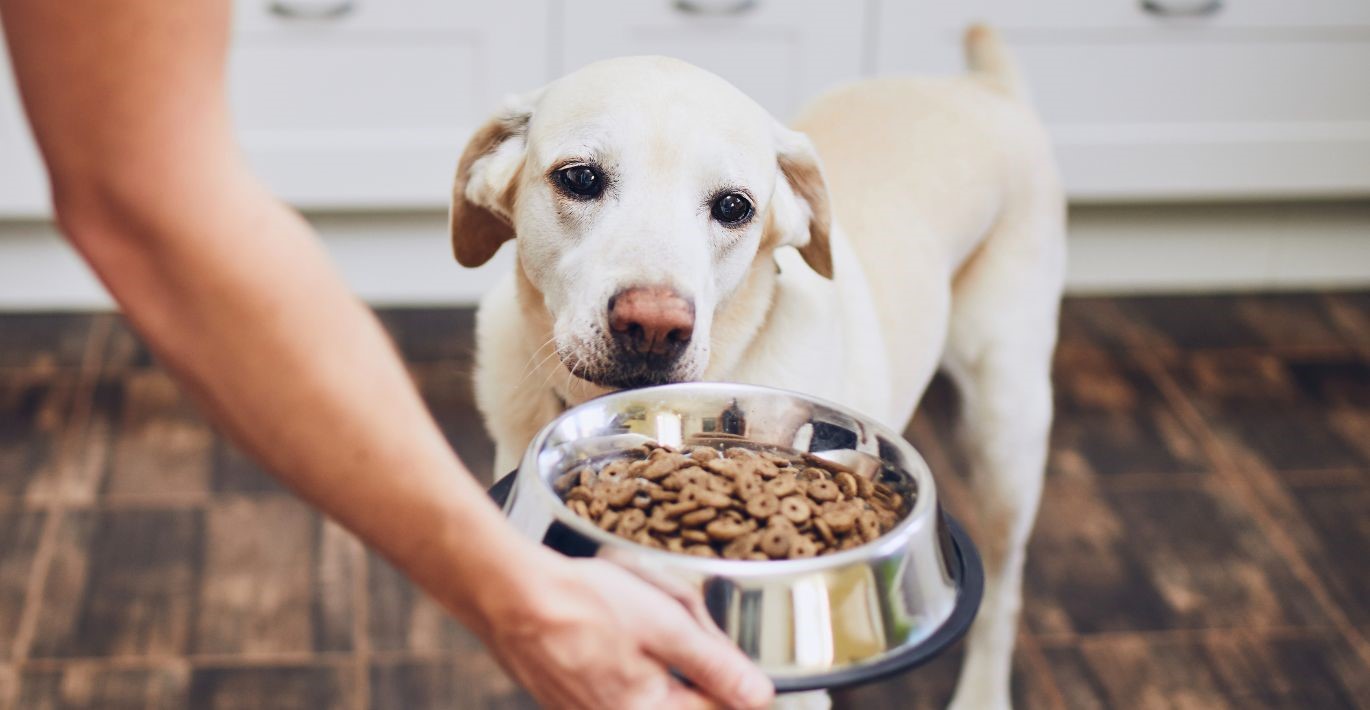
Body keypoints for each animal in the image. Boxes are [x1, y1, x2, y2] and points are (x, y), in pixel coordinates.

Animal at [454, 26, 1063, 710]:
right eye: (580, 178)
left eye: (733, 206)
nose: (654, 327)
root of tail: (985, 86)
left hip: (1007, 431)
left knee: (1005, 592)